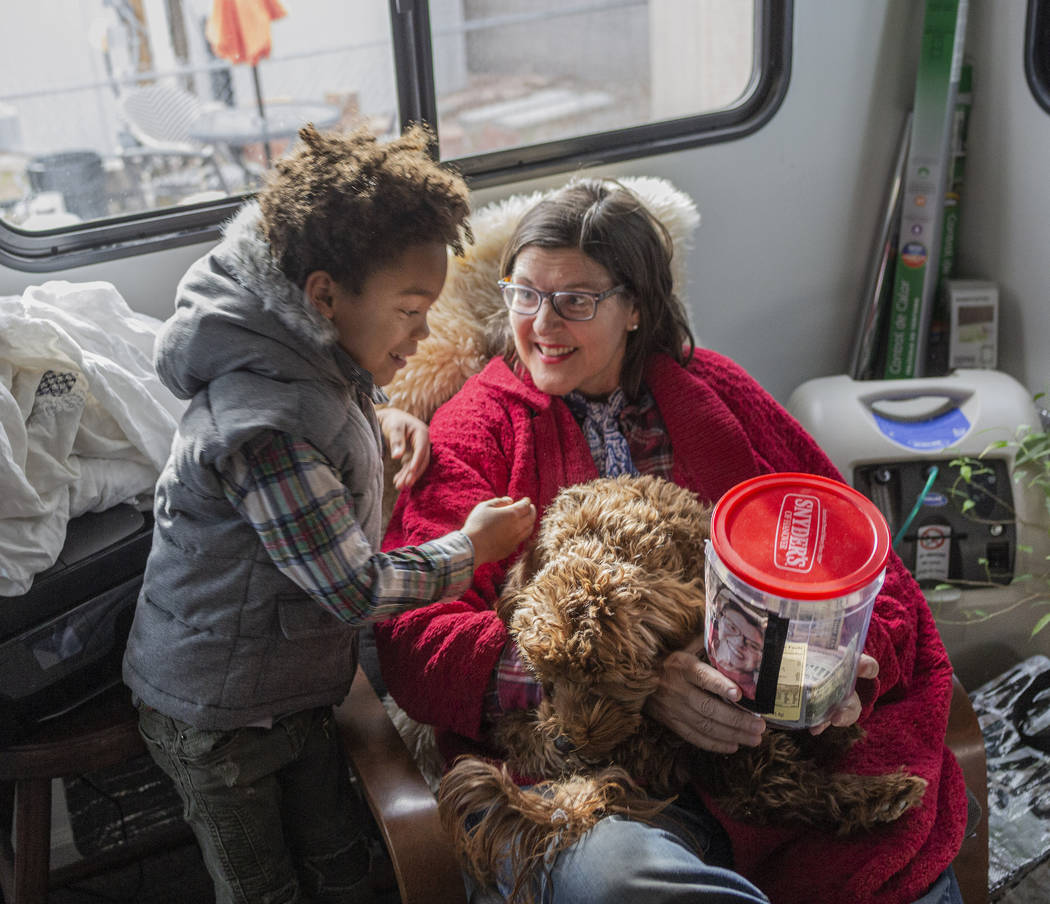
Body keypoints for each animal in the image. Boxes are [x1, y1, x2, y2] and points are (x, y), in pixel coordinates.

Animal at [436, 476, 928, 898]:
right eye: (545, 677)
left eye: (599, 677)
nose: (563, 740)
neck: (612, 536)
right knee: (765, 788)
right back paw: (881, 792)